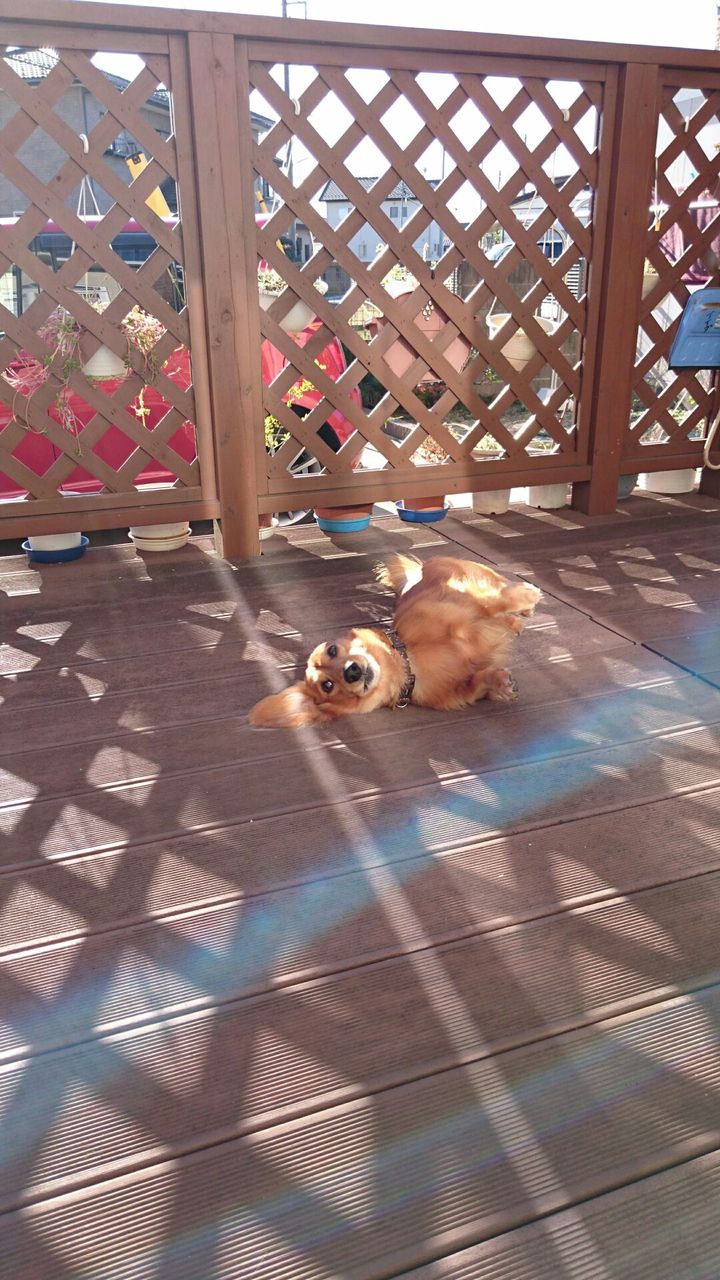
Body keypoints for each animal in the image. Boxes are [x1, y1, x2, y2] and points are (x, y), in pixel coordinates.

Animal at [249, 553, 541, 729]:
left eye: (332, 650)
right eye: (328, 685)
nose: (352, 671)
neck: (410, 663)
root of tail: (418, 570)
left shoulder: (464, 605)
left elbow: (491, 603)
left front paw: (526, 596)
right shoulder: (460, 690)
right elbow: (478, 682)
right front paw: (501, 683)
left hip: (476, 575)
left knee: (497, 589)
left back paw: (523, 608)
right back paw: (516, 623)